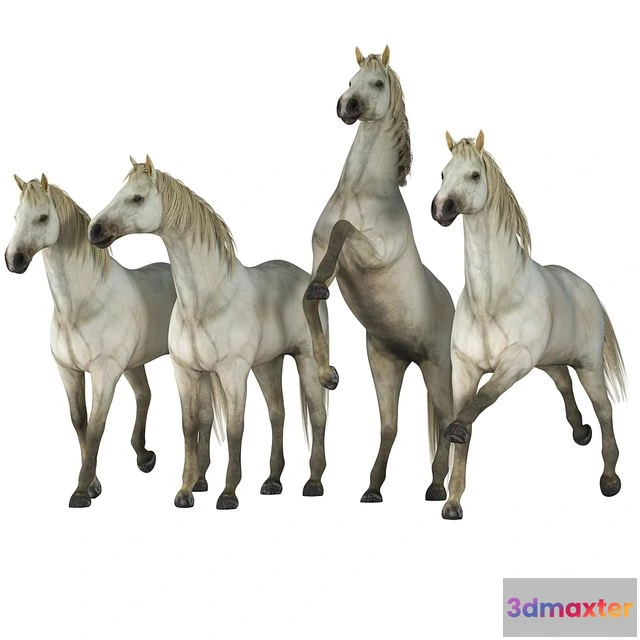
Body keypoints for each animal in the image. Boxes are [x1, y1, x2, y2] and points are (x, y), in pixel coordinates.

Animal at [5, 175, 177, 507]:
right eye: (16, 217)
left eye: (42, 217)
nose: (13, 260)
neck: (85, 304)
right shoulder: (69, 371)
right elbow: (79, 421)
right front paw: (94, 484)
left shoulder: (104, 374)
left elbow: (97, 427)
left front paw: (82, 491)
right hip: (133, 364)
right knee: (144, 396)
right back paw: (144, 457)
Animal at [89, 156, 330, 509]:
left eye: (137, 198)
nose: (94, 230)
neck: (207, 301)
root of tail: (306, 281)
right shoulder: (187, 371)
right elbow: (190, 427)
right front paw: (185, 491)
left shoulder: (232, 371)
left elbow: (234, 428)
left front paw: (228, 493)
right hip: (267, 365)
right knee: (277, 414)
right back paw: (272, 481)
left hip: (308, 360)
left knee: (317, 415)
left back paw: (313, 482)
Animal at [303, 46, 454, 503]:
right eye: (351, 79)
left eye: (377, 82)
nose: (346, 106)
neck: (360, 191)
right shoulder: (316, 253)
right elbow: (309, 301)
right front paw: (328, 375)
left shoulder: (371, 253)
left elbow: (343, 229)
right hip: (387, 364)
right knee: (390, 426)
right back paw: (372, 488)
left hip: (437, 367)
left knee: (448, 422)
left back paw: (437, 488)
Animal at [431, 131, 627, 519]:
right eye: (443, 174)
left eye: (474, 175)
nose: (441, 208)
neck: (491, 300)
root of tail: (588, 290)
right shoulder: (466, 369)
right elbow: (466, 422)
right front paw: (453, 502)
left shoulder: (515, 361)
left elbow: (481, 403)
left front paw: (456, 434)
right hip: (550, 361)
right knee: (564, 384)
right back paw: (580, 432)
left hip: (589, 365)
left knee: (604, 410)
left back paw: (610, 480)